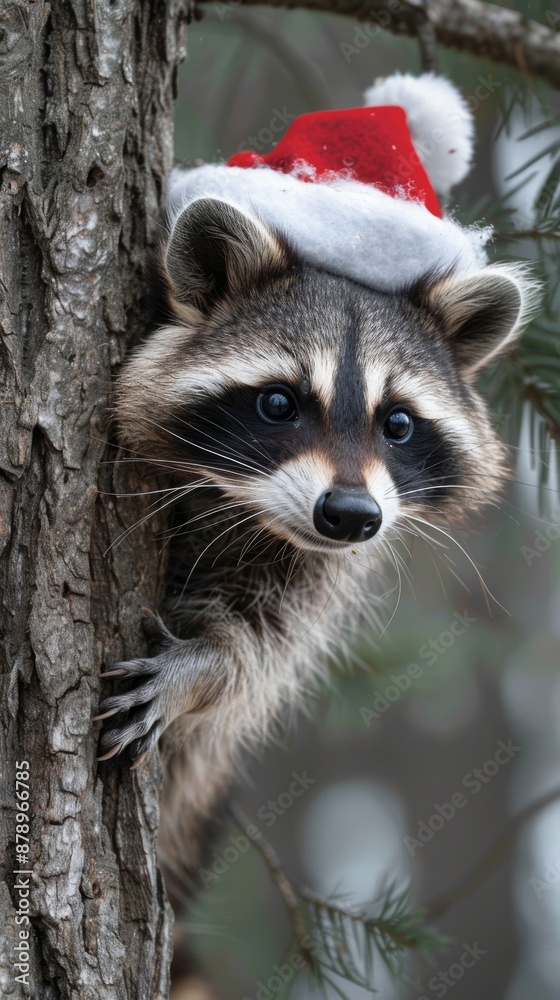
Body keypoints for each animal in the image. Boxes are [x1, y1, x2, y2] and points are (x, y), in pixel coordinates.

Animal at [95, 75, 536, 875]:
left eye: (399, 424)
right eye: (278, 403)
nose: (351, 515)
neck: (244, 503)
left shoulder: (326, 565)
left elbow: (269, 644)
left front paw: (208, 663)